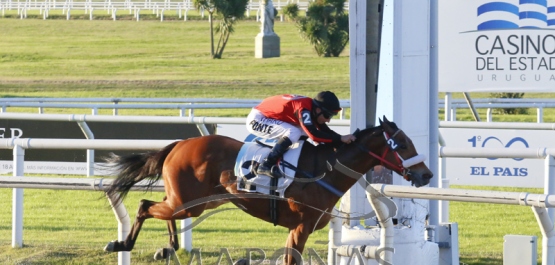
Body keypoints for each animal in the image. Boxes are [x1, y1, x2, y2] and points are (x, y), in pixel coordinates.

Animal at [104, 115, 434, 262]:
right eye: (403, 145)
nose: (426, 174)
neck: (325, 169)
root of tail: (180, 144)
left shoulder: (297, 228)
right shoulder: (302, 225)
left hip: (194, 201)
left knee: (162, 208)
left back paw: (168, 247)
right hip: (191, 201)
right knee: (145, 205)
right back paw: (123, 244)